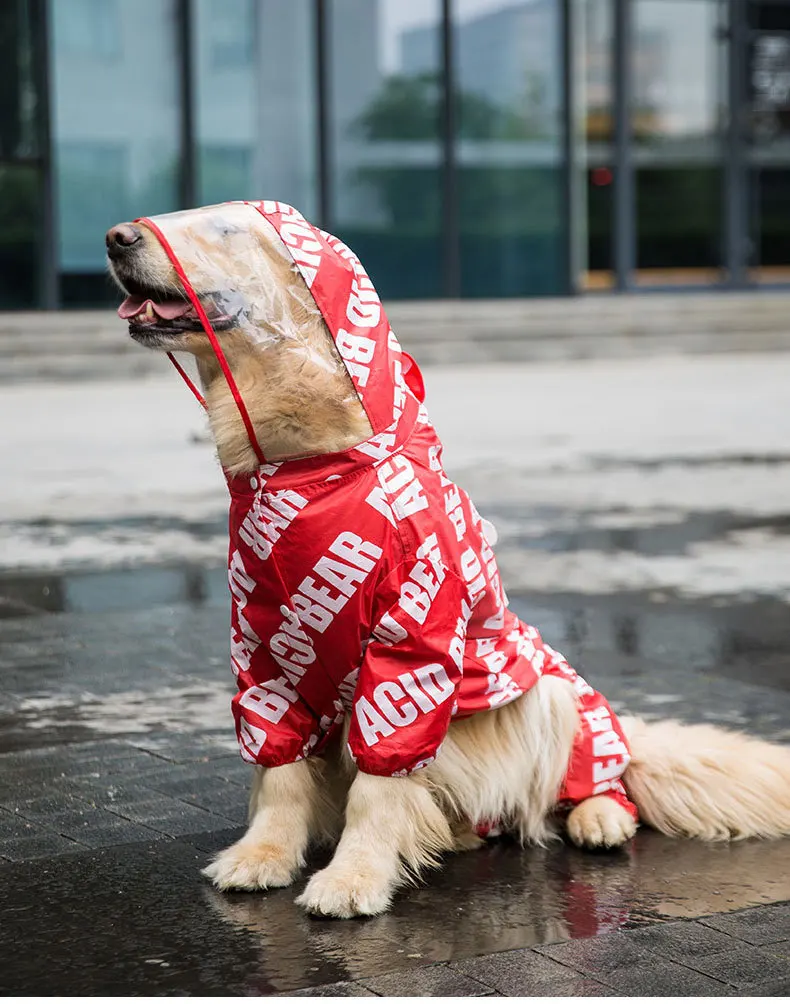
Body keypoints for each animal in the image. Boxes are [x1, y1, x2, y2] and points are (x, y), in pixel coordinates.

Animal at [107, 205, 790, 919]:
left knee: (598, 771)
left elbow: (379, 780)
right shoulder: (264, 643)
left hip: (556, 696)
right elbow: (280, 770)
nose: (116, 238)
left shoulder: (411, 643)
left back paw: (598, 815)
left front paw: (354, 877)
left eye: (226, 230)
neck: (309, 473)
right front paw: (261, 855)